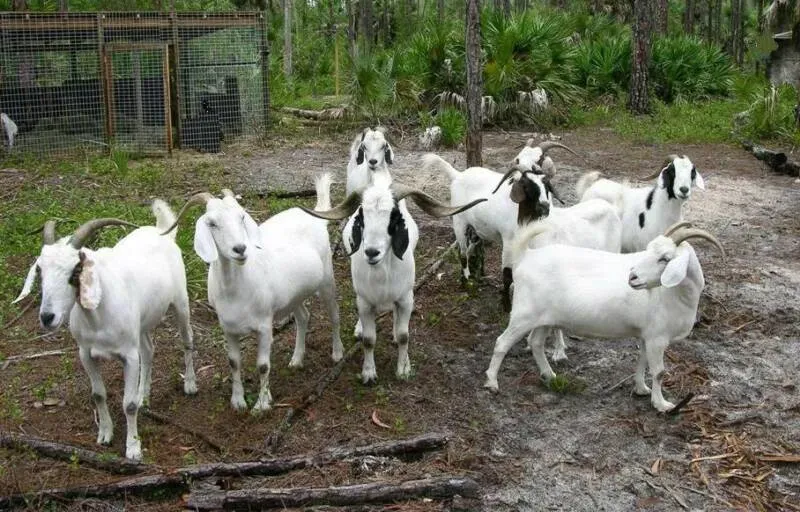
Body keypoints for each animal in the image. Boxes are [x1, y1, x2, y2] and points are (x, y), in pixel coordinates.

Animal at [14, 206, 198, 460]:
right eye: (40, 269)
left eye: (76, 269)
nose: (47, 317)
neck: (99, 318)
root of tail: (162, 231)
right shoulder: (86, 353)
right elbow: (98, 394)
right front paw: (105, 435)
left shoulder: (129, 356)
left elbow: (128, 404)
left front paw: (133, 448)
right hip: (141, 325)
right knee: (148, 350)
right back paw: (144, 396)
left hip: (181, 303)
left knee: (187, 339)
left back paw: (190, 385)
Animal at [164, 174, 342, 414]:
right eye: (212, 223)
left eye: (241, 217)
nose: (240, 249)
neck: (237, 289)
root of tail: (315, 216)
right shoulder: (228, 329)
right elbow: (233, 362)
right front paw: (238, 401)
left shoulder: (265, 326)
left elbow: (263, 365)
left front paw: (262, 404)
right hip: (293, 295)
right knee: (303, 317)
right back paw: (296, 359)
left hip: (326, 279)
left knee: (334, 313)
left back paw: (337, 354)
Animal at [300, 180, 485, 384]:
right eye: (361, 215)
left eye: (394, 216)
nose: (372, 252)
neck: (382, 275)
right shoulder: (365, 302)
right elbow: (369, 339)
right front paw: (369, 373)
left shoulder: (406, 299)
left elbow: (405, 336)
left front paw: (403, 369)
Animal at [484, 221, 724, 412]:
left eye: (665, 259)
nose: (633, 277)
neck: (673, 294)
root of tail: (526, 256)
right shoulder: (658, 338)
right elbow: (659, 372)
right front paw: (662, 404)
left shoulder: (647, 335)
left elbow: (642, 360)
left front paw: (641, 389)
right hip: (524, 314)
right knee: (502, 342)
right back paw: (492, 383)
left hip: (544, 318)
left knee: (535, 343)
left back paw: (550, 375)